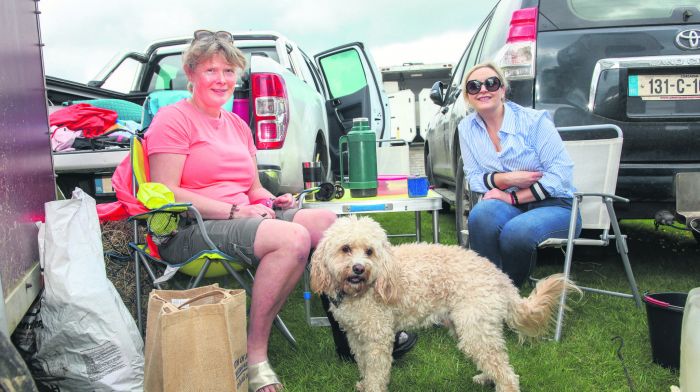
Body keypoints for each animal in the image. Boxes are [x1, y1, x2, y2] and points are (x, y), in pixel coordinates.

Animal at [312, 216, 580, 392]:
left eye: (369, 251)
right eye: (346, 248)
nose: (359, 268)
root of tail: (499, 276)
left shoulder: (378, 338)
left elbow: (377, 370)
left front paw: (372, 387)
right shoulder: (356, 336)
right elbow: (364, 364)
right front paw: (364, 382)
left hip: (474, 328)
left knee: (506, 373)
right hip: (469, 327)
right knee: (495, 359)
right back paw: (485, 377)